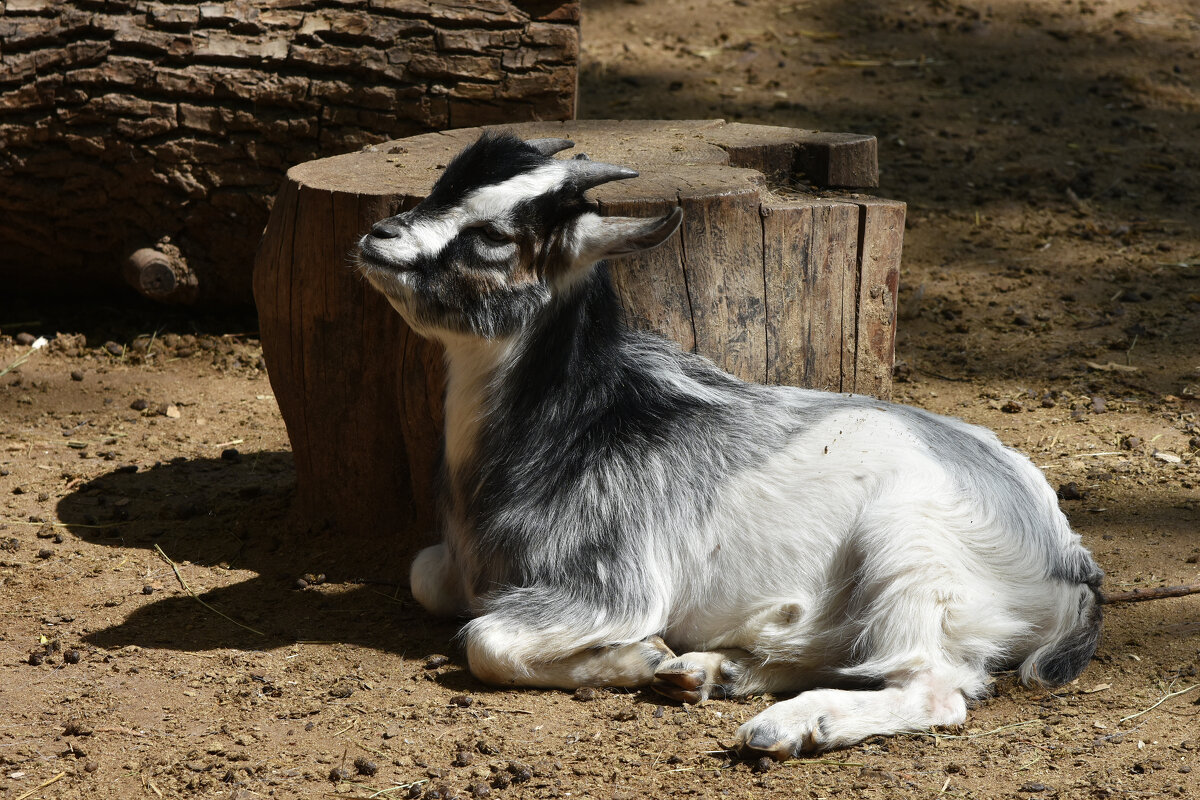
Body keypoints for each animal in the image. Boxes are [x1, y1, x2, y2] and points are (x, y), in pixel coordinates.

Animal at [350, 131, 1099, 758]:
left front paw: (635, 657)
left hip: (912, 553)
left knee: (935, 689)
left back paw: (788, 723)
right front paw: (656, 662)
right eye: (443, 184)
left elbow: (485, 639)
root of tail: (1068, 554)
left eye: (493, 236)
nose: (377, 236)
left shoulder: (611, 584)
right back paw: (714, 671)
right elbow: (425, 577)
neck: (573, 426)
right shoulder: (454, 567)